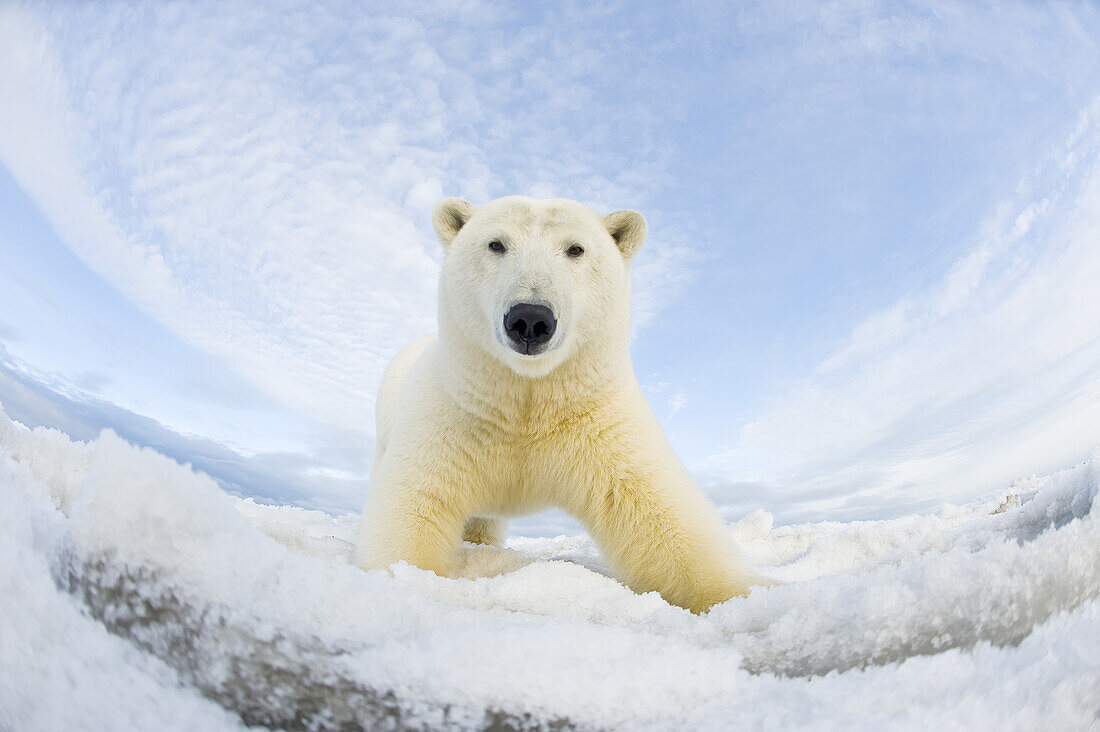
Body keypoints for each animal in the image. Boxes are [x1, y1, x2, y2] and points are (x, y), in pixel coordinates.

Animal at [358, 193, 765, 612]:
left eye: (575, 249)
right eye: (496, 244)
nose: (530, 319)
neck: (525, 398)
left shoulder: (599, 421)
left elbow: (664, 520)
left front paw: (752, 597)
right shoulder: (451, 418)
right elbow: (411, 510)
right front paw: (409, 584)